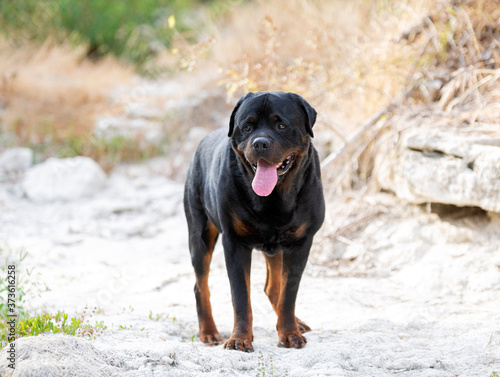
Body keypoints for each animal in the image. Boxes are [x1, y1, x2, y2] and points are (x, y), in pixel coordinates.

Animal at [184, 92, 324, 352]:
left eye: (281, 125)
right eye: (247, 127)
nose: (260, 143)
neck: (274, 198)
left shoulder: (301, 243)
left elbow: (289, 293)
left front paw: (289, 333)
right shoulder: (235, 243)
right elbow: (240, 297)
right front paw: (239, 339)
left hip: (276, 248)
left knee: (274, 288)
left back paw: (296, 323)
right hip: (200, 234)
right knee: (201, 285)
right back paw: (208, 332)